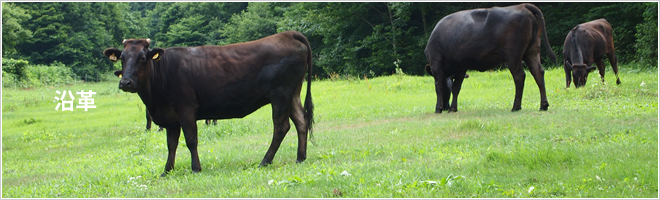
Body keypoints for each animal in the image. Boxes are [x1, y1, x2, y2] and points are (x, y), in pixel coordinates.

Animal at [104, 30, 314, 177]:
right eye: (122, 58)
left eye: (142, 58)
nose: (126, 82)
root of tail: (287, 34)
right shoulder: (171, 118)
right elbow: (171, 144)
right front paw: (167, 170)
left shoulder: (186, 110)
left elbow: (191, 140)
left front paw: (196, 168)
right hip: (292, 94)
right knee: (301, 122)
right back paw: (300, 158)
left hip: (280, 94)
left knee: (281, 126)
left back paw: (265, 161)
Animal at [422, 3, 556, 112]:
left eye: (447, 89)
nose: (445, 106)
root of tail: (522, 5)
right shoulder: (461, 67)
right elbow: (456, 88)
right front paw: (453, 108)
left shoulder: (436, 62)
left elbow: (438, 86)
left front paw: (438, 108)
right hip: (531, 51)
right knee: (538, 73)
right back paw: (543, 105)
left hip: (513, 55)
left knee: (520, 76)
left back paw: (516, 106)